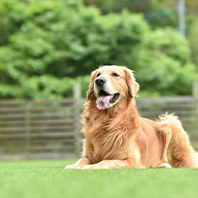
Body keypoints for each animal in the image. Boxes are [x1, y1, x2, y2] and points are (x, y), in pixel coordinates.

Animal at [65, 65, 198, 169]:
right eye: (98, 74)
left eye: (115, 74)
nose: (99, 81)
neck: (108, 120)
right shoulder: (89, 154)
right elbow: (82, 160)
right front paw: (73, 166)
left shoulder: (131, 160)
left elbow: (106, 161)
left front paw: (91, 166)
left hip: (170, 123)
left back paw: (164, 164)